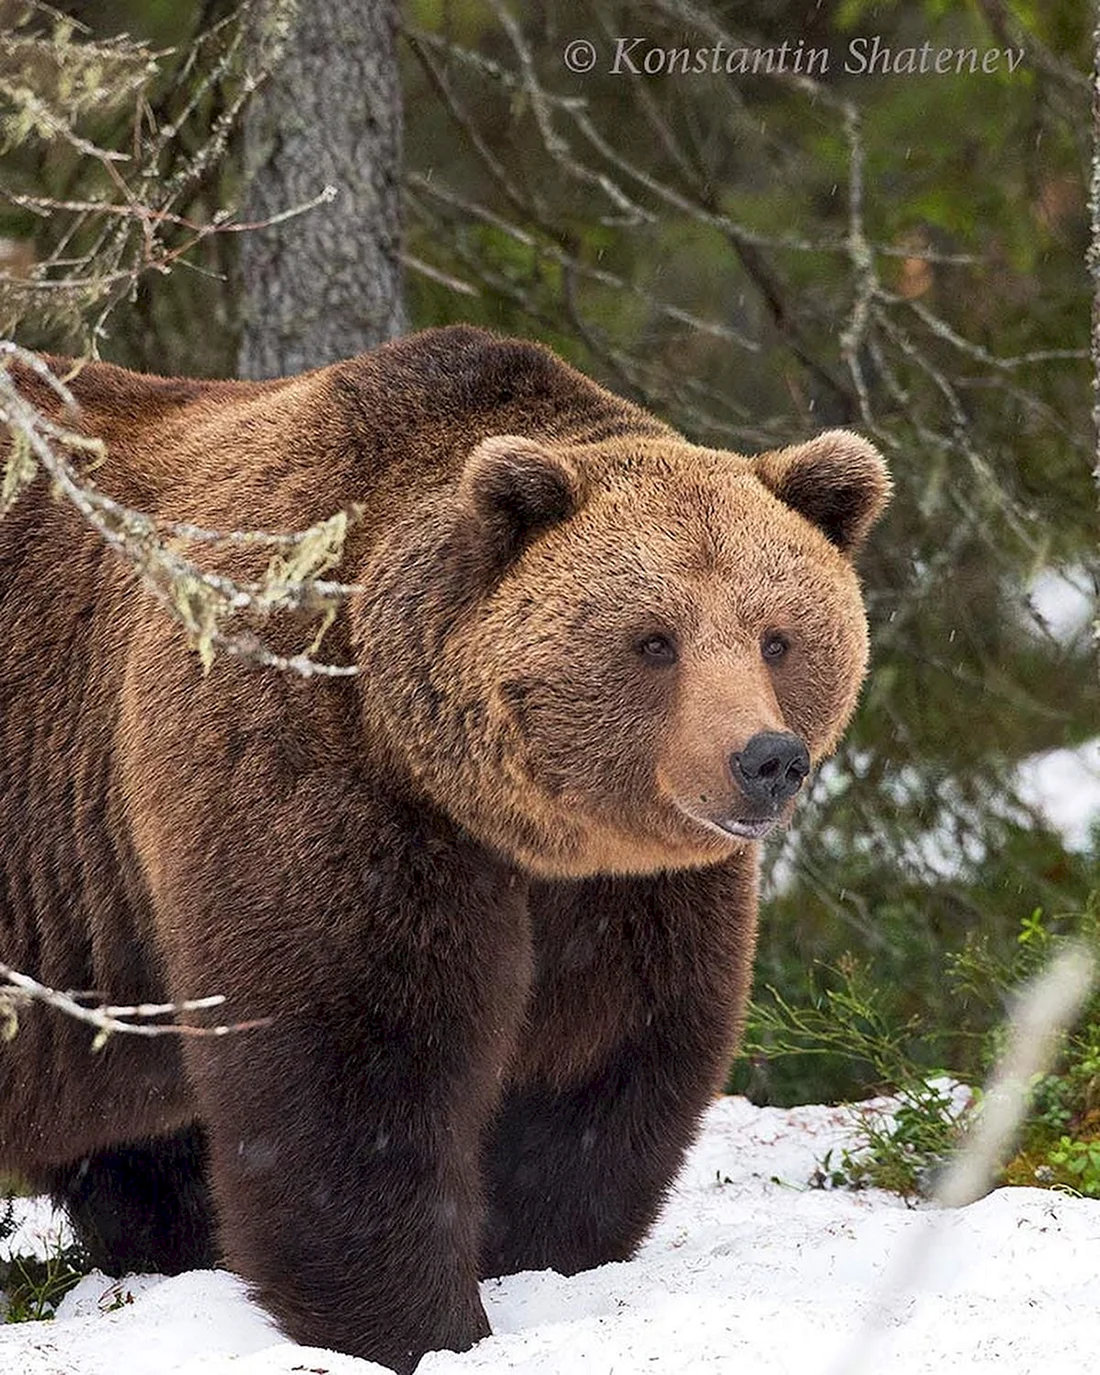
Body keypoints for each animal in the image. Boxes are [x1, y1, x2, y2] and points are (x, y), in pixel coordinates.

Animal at [0, 327, 891, 1369]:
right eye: (655, 639)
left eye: (778, 636)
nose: (765, 759)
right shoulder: (313, 770)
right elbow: (354, 1063)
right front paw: (415, 1321)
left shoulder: (629, 889)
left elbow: (606, 1057)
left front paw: (538, 1262)